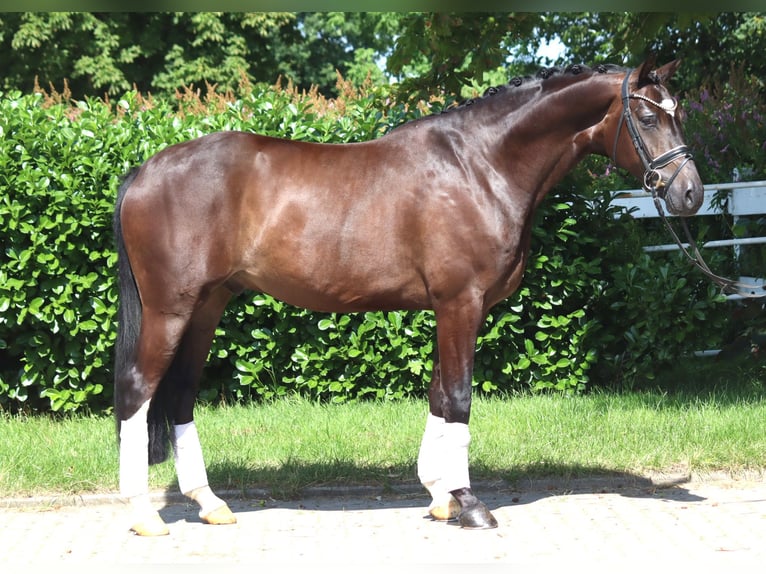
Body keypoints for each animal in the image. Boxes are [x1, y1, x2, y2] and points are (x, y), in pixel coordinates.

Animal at [112, 57, 704, 536]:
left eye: (678, 114)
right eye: (648, 118)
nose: (690, 193)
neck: (480, 166)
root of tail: (144, 170)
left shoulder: (452, 308)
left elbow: (440, 396)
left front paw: (441, 497)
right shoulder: (460, 304)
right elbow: (460, 398)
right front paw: (470, 504)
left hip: (206, 306)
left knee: (181, 395)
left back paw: (209, 504)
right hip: (171, 309)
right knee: (138, 390)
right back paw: (142, 514)